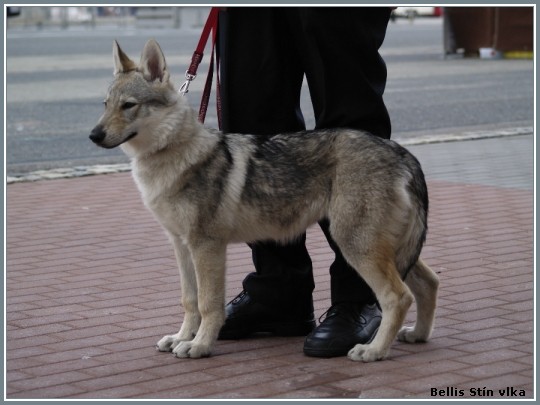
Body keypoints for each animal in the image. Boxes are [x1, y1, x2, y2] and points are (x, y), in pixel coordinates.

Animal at [89, 38, 438, 360]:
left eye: (128, 105)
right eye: (105, 104)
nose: (94, 135)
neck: (173, 157)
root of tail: (403, 153)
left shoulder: (206, 246)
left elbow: (208, 303)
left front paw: (199, 345)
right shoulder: (180, 245)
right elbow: (189, 300)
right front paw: (181, 337)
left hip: (355, 244)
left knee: (398, 296)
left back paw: (373, 350)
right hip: (389, 247)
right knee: (430, 282)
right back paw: (418, 335)